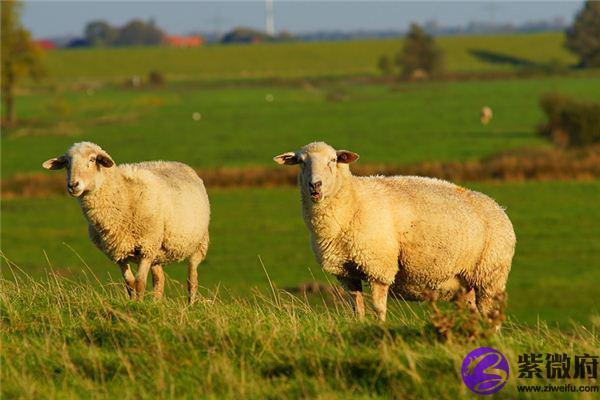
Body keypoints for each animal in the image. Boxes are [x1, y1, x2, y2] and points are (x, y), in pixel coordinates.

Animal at [42, 142, 211, 302]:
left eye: (92, 159)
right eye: (67, 163)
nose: (73, 185)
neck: (123, 194)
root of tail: (179, 163)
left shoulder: (146, 248)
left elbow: (140, 283)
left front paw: (139, 305)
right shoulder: (119, 252)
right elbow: (129, 284)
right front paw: (133, 303)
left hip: (198, 244)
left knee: (192, 279)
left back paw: (190, 304)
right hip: (157, 251)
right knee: (159, 280)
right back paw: (156, 303)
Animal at [276, 142, 516, 324]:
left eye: (333, 160)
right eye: (301, 162)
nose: (314, 185)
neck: (353, 202)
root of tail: (500, 208)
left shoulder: (378, 266)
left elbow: (378, 307)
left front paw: (379, 329)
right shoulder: (346, 272)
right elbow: (357, 307)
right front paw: (359, 325)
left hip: (491, 275)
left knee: (491, 314)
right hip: (465, 284)